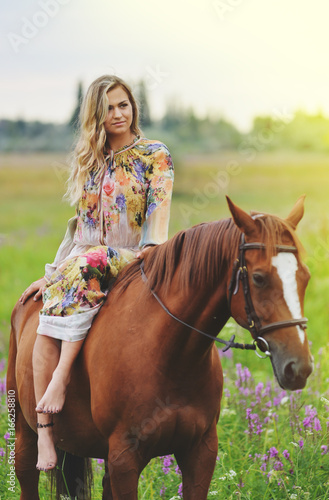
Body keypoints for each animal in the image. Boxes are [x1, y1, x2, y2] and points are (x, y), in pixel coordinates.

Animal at [6, 197, 312, 498]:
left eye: (305, 277)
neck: (170, 355)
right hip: (25, 433)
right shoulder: (124, 458)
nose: (299, 367)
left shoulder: (201, 451)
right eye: (259, 277)